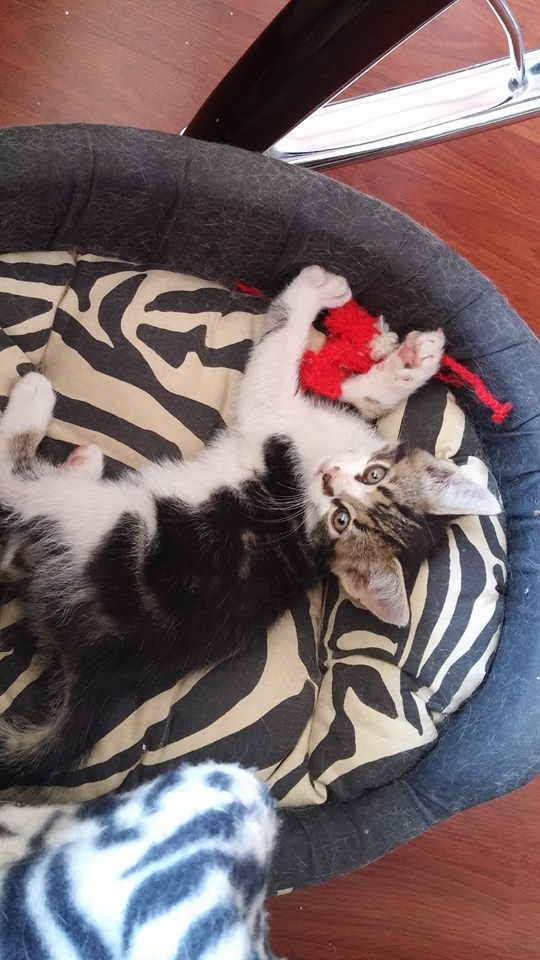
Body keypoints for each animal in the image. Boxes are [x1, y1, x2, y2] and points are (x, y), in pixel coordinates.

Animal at [0, 266, 500, 783]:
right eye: (373, 476)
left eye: (342, 518)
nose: (329, 477)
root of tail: (92, 673)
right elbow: (361, 396)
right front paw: (413, 361)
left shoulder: (272, 415)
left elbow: (278, 347)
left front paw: (312, 290)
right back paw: (81, 462)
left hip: (103, 524)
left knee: (15, 483)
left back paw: (36, 404)